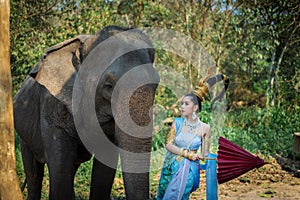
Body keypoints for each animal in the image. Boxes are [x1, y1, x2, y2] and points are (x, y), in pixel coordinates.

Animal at [14, 25, 159, 199]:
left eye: (157, 83)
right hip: (24, 134)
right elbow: (60, 167)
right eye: (108, 86)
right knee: (34, 173)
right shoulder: (53, 109)